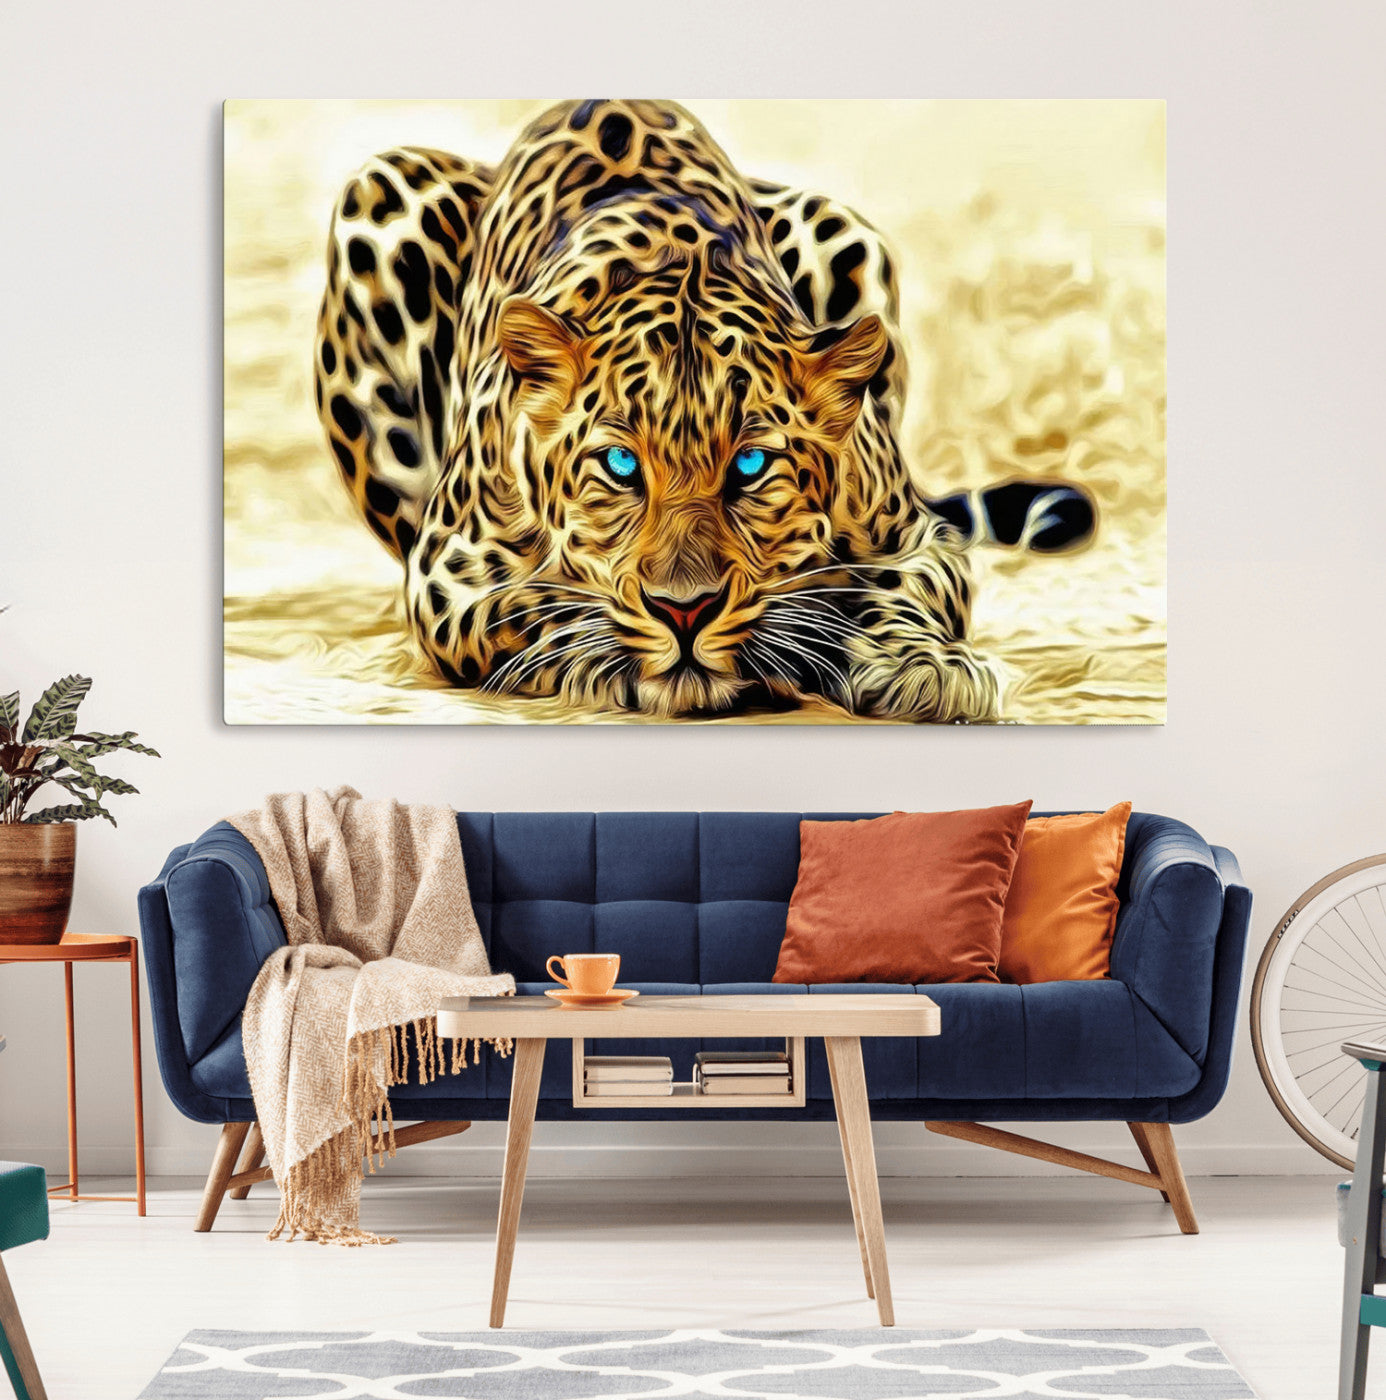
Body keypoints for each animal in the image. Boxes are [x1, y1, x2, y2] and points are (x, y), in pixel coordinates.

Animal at [313, 99, 1094, 722]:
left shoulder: (915, 536)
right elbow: (538, 608)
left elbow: (905, 589)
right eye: (620, 464)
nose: (684, 610)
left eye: (750, 465)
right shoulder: (450, 570)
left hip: (842, 229)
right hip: (382, 192)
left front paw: (924, 666)